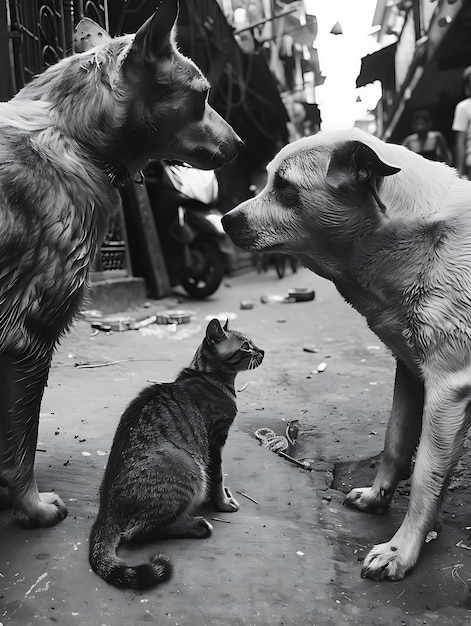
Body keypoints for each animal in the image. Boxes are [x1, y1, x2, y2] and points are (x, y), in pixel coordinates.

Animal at [0, 1, 242, 528]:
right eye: (204, 95)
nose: (241, 145)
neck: (75, 136)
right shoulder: (28, 334)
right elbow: (19, 447)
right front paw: (30, 506)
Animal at [89, 320, 266, 588]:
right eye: (246, 346)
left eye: (253, 343)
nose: (263, 351)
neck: (209, 377)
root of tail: (105, 508)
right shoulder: (215, 441)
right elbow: (218, 477)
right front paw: (222, 503)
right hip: (189, 469)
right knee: (138, 533)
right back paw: (198, 526)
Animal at [223, 128, 471, 580]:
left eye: (284, 186)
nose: (224, 220)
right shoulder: (410, 369)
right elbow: (395, 443)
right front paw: (377, 497)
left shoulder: (448, 386)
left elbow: (426, 475)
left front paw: (401, 550)